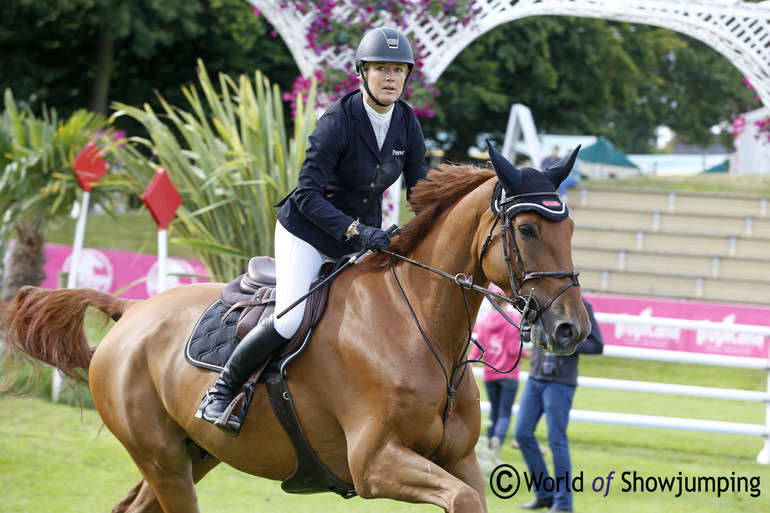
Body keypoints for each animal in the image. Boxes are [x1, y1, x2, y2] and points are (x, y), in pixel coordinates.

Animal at [1, 154, 588, 510]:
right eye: (527, 229)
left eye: (571, 230)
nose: (571, 330)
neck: (419, 327)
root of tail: (132, 310)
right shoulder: (375, 464)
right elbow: (455, 497)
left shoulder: (459, 461)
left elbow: (470, 497)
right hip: (161, 457)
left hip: (193, 455)